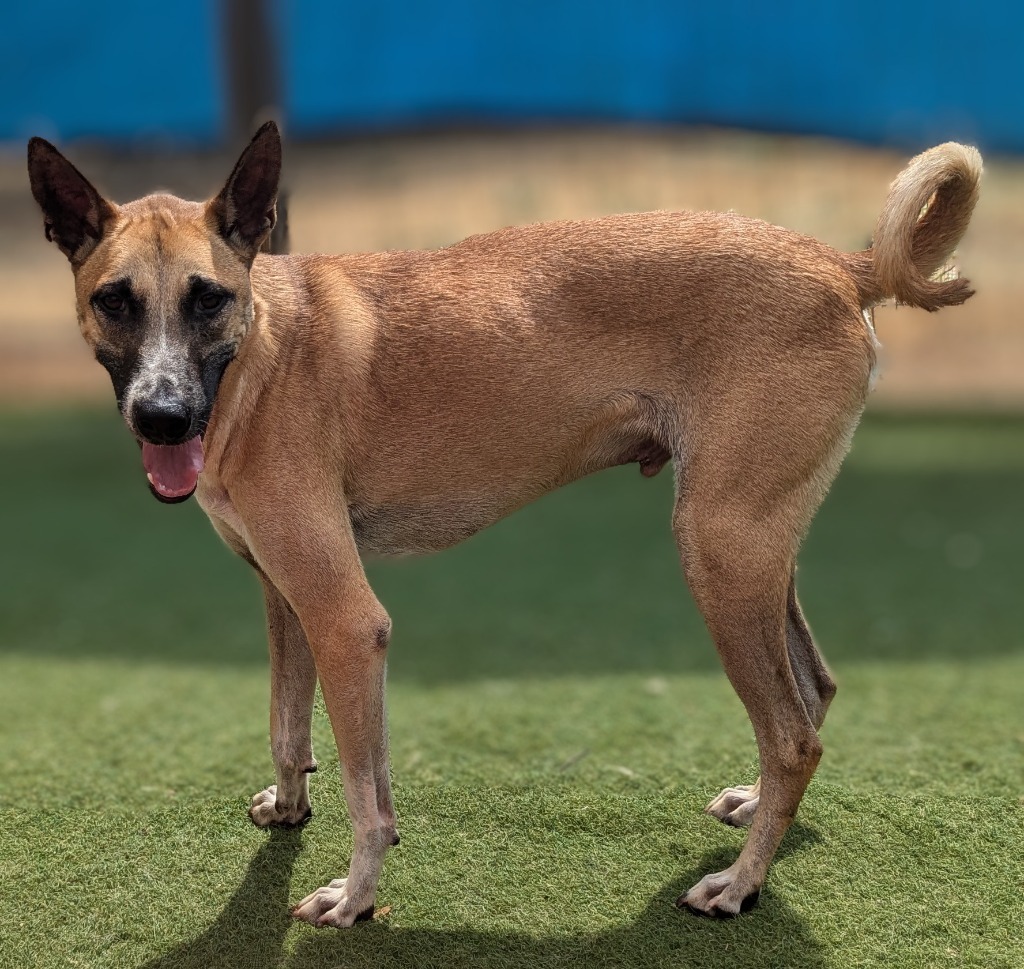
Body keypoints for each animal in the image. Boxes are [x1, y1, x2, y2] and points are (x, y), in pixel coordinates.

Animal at [28, 122, 978, 921]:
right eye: (114, 300)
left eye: (207, 299)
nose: (162, 417)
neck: (263, 351)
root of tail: (840, 261)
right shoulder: (285, 597)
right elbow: (286, 726)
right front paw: (292, 807)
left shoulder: (347, 620)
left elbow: (367, 791)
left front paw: (356, 895)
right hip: (753, 549)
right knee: (813, 692)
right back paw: (755, 813)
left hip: (720, 552)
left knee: (793, 737)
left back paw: (740, 882)